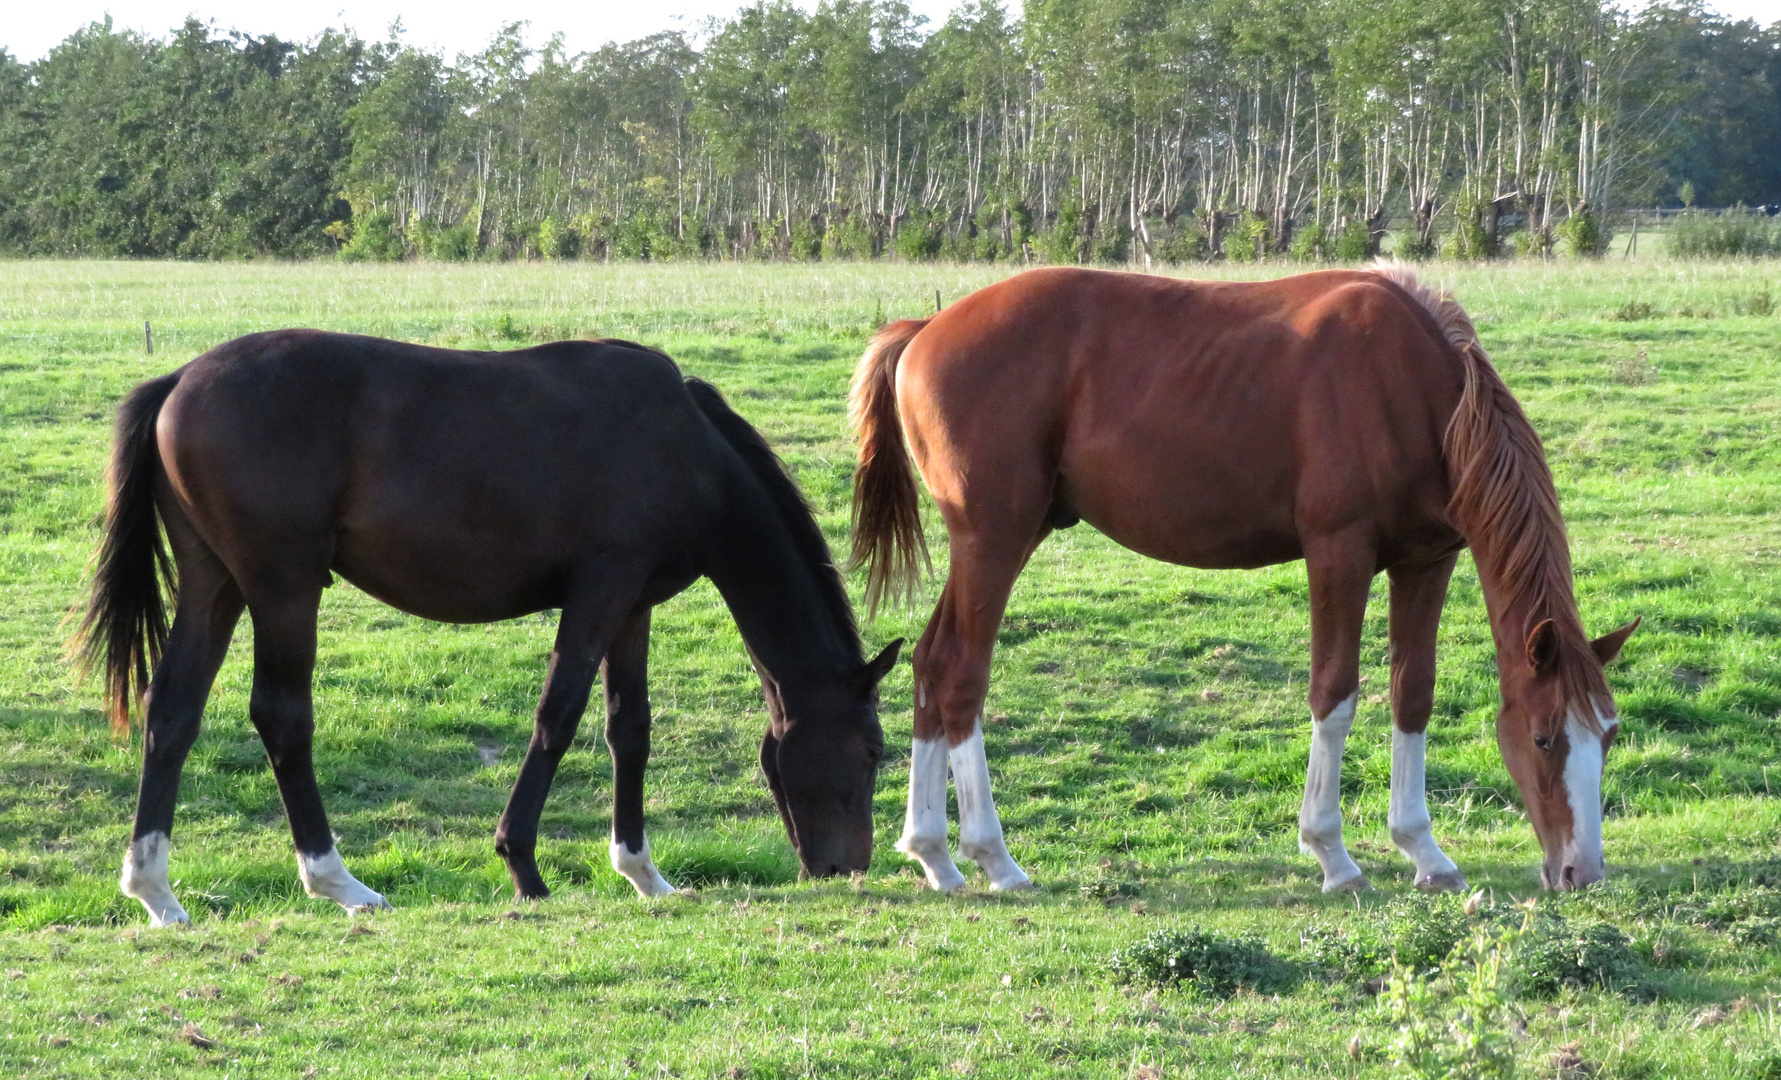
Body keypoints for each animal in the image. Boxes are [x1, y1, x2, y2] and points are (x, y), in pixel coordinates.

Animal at [76, 335, 897, 926]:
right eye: (872, 751)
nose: (845, 869)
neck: (687, 447)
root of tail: (180, 379)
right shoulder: (600, 592)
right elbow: (557, 718)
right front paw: (523, 865)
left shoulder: (633, 606)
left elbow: (629, 728)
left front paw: (644, 874)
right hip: (283, 587)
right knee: (282, 717)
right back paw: (337, 882)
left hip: (214, 583)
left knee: (173, 711)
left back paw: (156, 890)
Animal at [847, 269, 1638, 898]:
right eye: (1542, 738)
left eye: (1608, 733)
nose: (1581, 872)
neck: (1413, 387)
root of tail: (924, 331)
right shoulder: (1338, 553)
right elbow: (1334, 695)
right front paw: (1332, 855)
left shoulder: (1425, 560)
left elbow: (1412, 694)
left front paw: (1424, 852)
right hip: (994, 538)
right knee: (961, 674)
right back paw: (995, 859)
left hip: (1002, 538)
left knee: (930, 664)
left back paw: (935, 857)